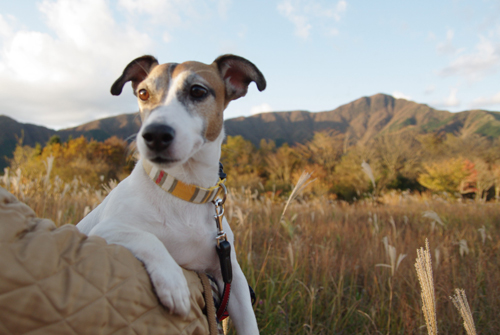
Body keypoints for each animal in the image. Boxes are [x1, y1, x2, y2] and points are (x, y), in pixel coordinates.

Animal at [77, 53, 266, 334]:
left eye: (197, 91)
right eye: (143, 93)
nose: (154, 134)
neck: (183, 190)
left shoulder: (232, 277)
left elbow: (249, 323)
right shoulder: (104, 231)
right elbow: (148, 239)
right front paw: (174, 282)